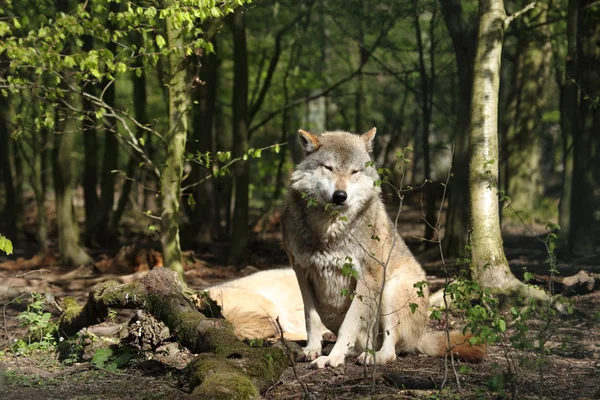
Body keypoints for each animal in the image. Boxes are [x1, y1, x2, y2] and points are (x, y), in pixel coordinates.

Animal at [280, 129, 482, 368]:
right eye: (328, 168)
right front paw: (312, 349)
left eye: (354, 171)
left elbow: (349, 324)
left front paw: (333, 358)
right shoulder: (302, 272)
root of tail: (421, 336)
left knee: (390, 350)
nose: (340, 196)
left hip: (388, 290)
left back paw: (369, 357)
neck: (329, 228)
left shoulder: (368, 276)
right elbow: (311, 318)